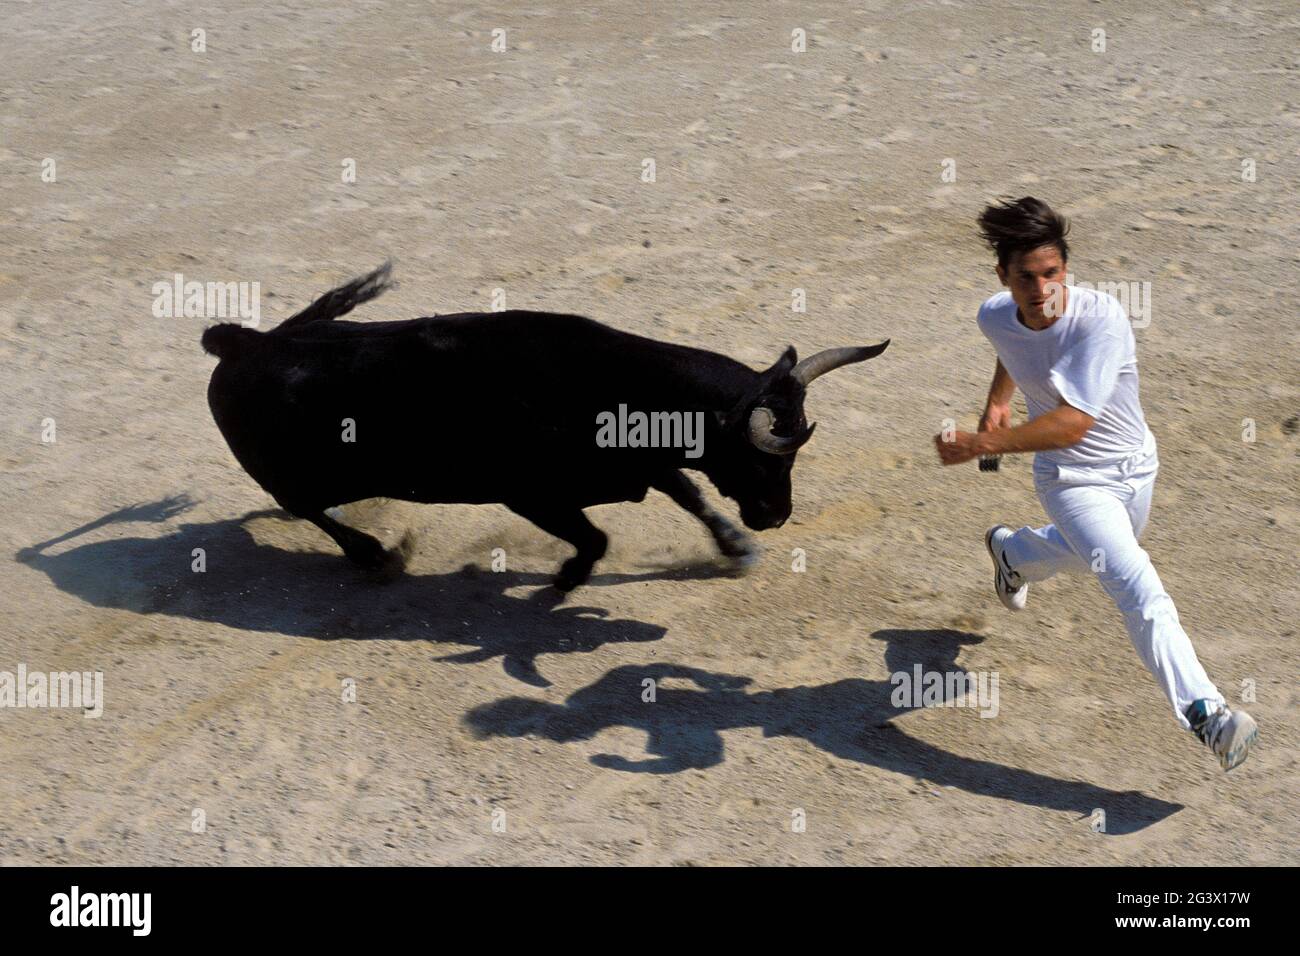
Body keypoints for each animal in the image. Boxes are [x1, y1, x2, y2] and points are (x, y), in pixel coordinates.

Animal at [202, 261, 889, 590]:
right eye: (761, 455)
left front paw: (737, 548)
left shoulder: (643, 461)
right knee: (311, 511)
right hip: (287, 478)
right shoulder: (532, 495)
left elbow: (687, 492)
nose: (776, 516)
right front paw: (565, 579)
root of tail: (243, 343)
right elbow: (596, 538)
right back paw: (376, 554)